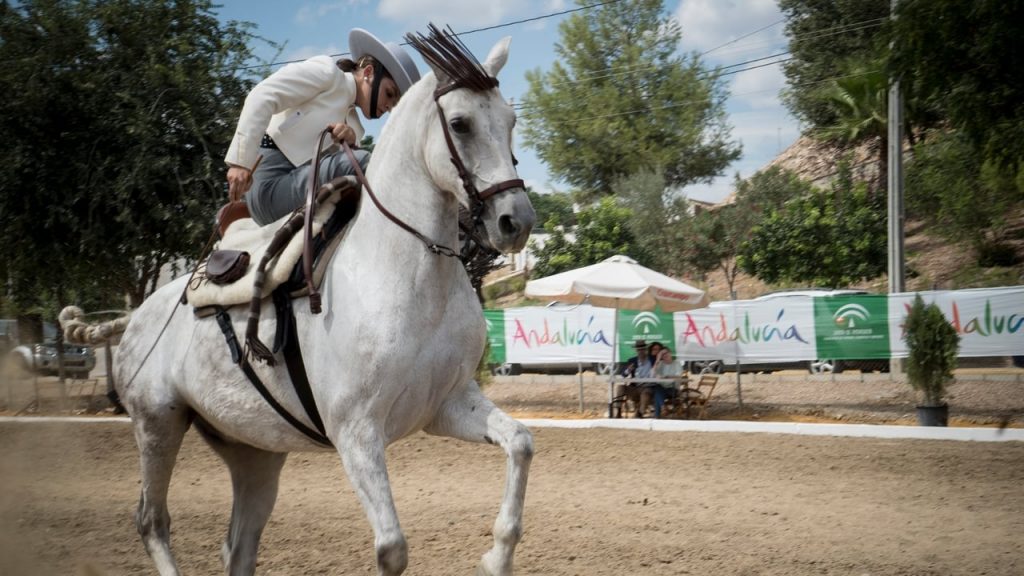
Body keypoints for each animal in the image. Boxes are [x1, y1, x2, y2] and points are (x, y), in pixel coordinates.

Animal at [67, 30, 536, 573]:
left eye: (510, 121)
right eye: (459, 123)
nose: (515, 221)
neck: (408, 270)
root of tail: (135, 317)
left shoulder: (448, 405)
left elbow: (521, 443)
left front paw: (497, 556)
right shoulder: (356, 434)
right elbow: (392, 548)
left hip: (254, 452)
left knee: (239, 542)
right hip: (157, 425)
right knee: (152, 520)